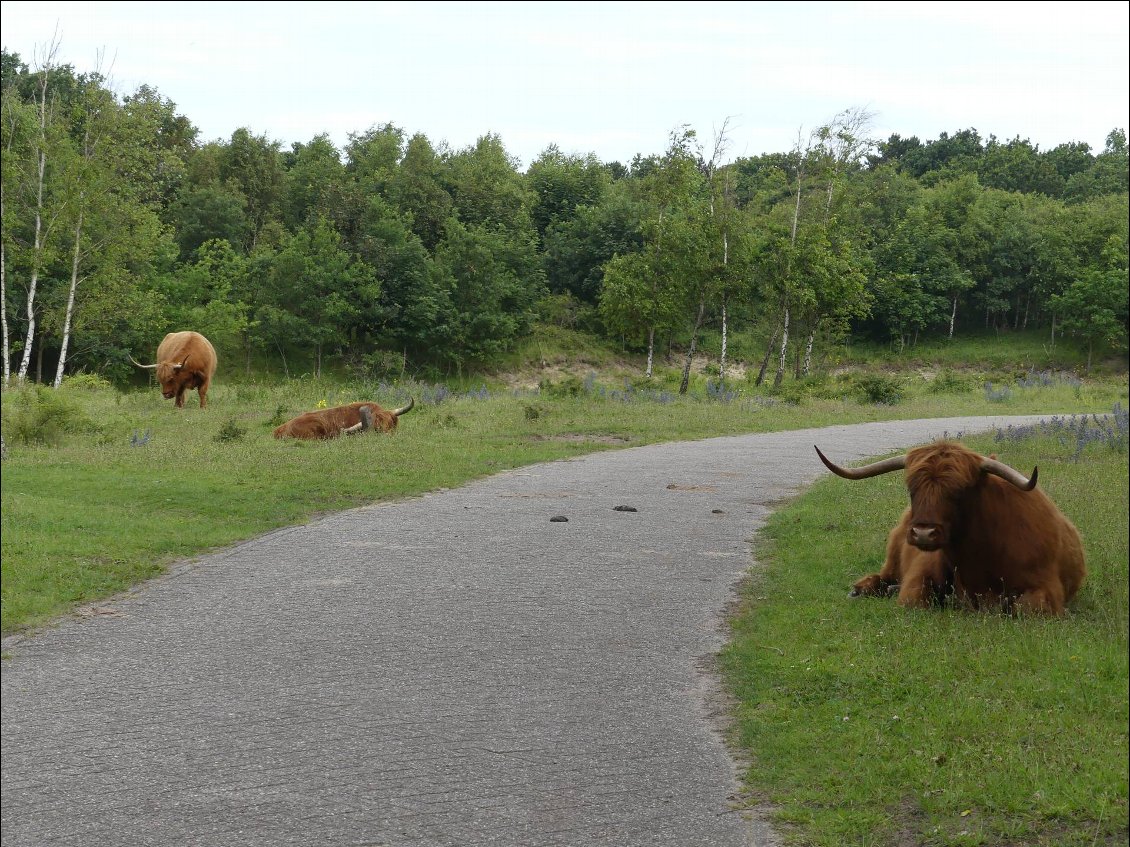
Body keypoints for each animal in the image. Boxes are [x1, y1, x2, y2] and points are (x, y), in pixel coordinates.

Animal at [818, 438, 1089, 618]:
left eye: (959, 491)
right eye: (911, 488)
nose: (923, 534)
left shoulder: (1048, 588)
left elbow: (1026, 608)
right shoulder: (919, 575)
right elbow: (913, 600)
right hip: (893, 558)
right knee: (881, 577)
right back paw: (861, 589)